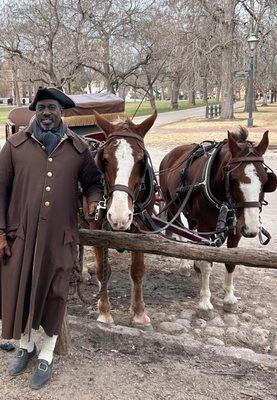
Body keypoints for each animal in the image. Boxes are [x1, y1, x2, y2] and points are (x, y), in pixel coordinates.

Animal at [87, 110, 155, 328]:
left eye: (141, 161)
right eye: (105, 159)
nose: (119, 217)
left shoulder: (140, 230)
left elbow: (137, 270)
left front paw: (139, 311)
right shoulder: (95, 230)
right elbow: (103, 270)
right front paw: (104, 311)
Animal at [158, 128, 274, 312]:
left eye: (265, 179)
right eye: (233, 179)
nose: (252, 228)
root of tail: (171, 154)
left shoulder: (236, 229)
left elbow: (231, 261)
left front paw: (229, 298)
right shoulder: (206, 226)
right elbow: (207, 263)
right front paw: (205, 301)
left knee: (192, 231)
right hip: (174, 206)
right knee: (181, 230)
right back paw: (185, 264)